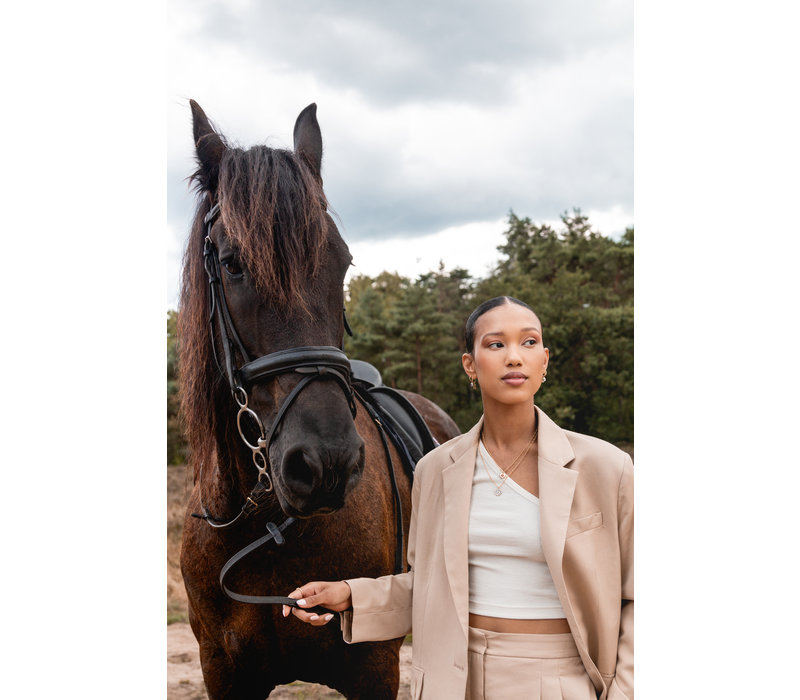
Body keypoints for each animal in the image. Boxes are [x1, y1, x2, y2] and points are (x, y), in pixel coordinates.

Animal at [178, 100, 460, 700]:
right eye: (233, 263)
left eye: (343, 262)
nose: (326, 462)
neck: (264, 528)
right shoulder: (222, 671)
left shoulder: (374, 668)